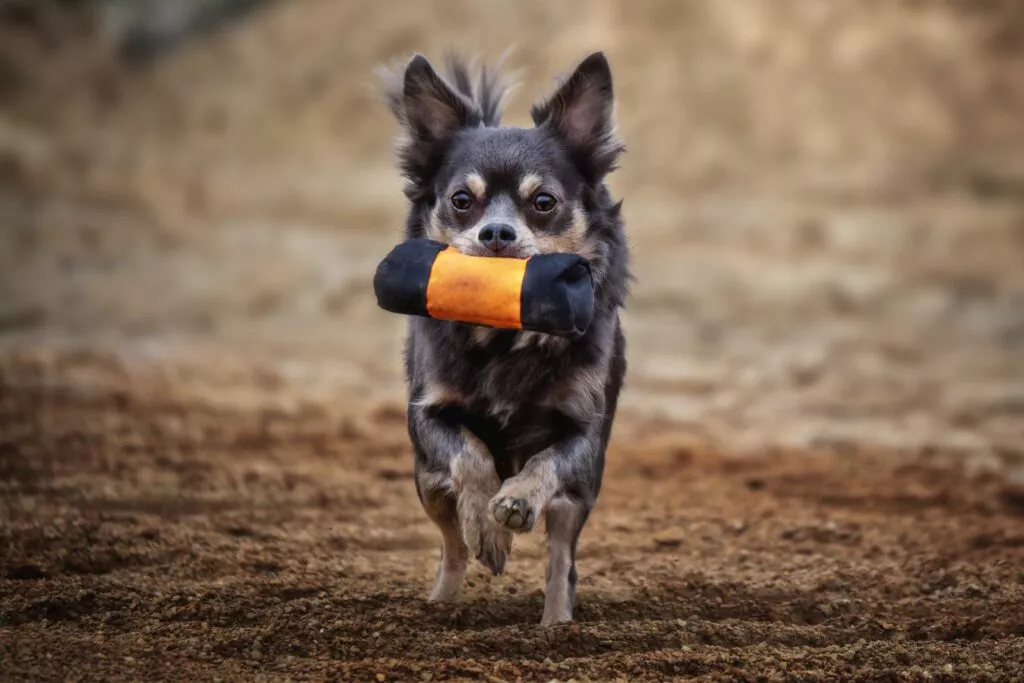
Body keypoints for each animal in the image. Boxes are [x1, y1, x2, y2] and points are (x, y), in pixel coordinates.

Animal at [380, 49, 626, 626]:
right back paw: (443, 600)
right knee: (451, 544)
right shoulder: (427, 416)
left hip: (579, 498)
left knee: (561, 561)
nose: (496, 232)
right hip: (426, 481)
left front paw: (514, 502)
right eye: (461, 200)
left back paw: (556, 625)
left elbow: (545, 463)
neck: (503, 339)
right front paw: (490, 530)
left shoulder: (583, 436)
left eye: (544, 202)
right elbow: (471, 456)